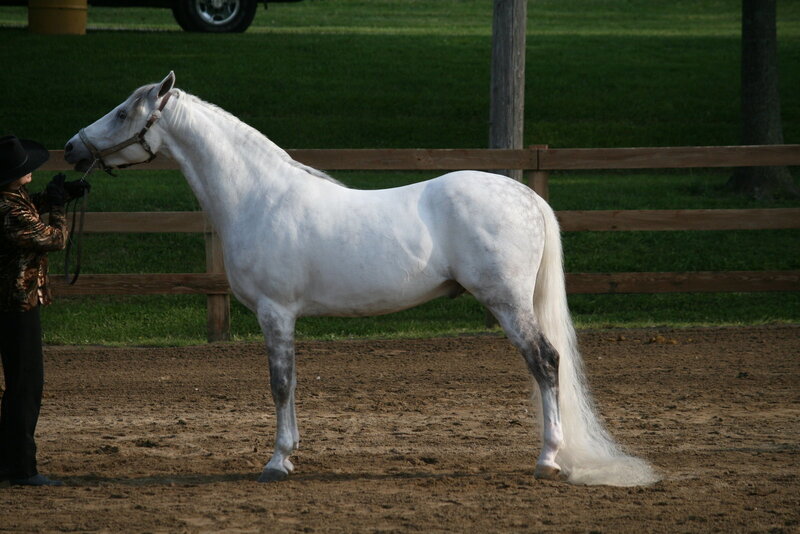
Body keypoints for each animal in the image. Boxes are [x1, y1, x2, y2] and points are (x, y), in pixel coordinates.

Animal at [64, 72, 659, 486]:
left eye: (123, 112)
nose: (71, 149)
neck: (259, 196)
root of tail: (528, 197)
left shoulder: (275, 312)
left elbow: (280, 384)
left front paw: (277, 461)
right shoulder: (282, 316)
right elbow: (291, 384)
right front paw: (290, 455)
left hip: (508, 302)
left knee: (545, 362)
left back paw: (548, 459)